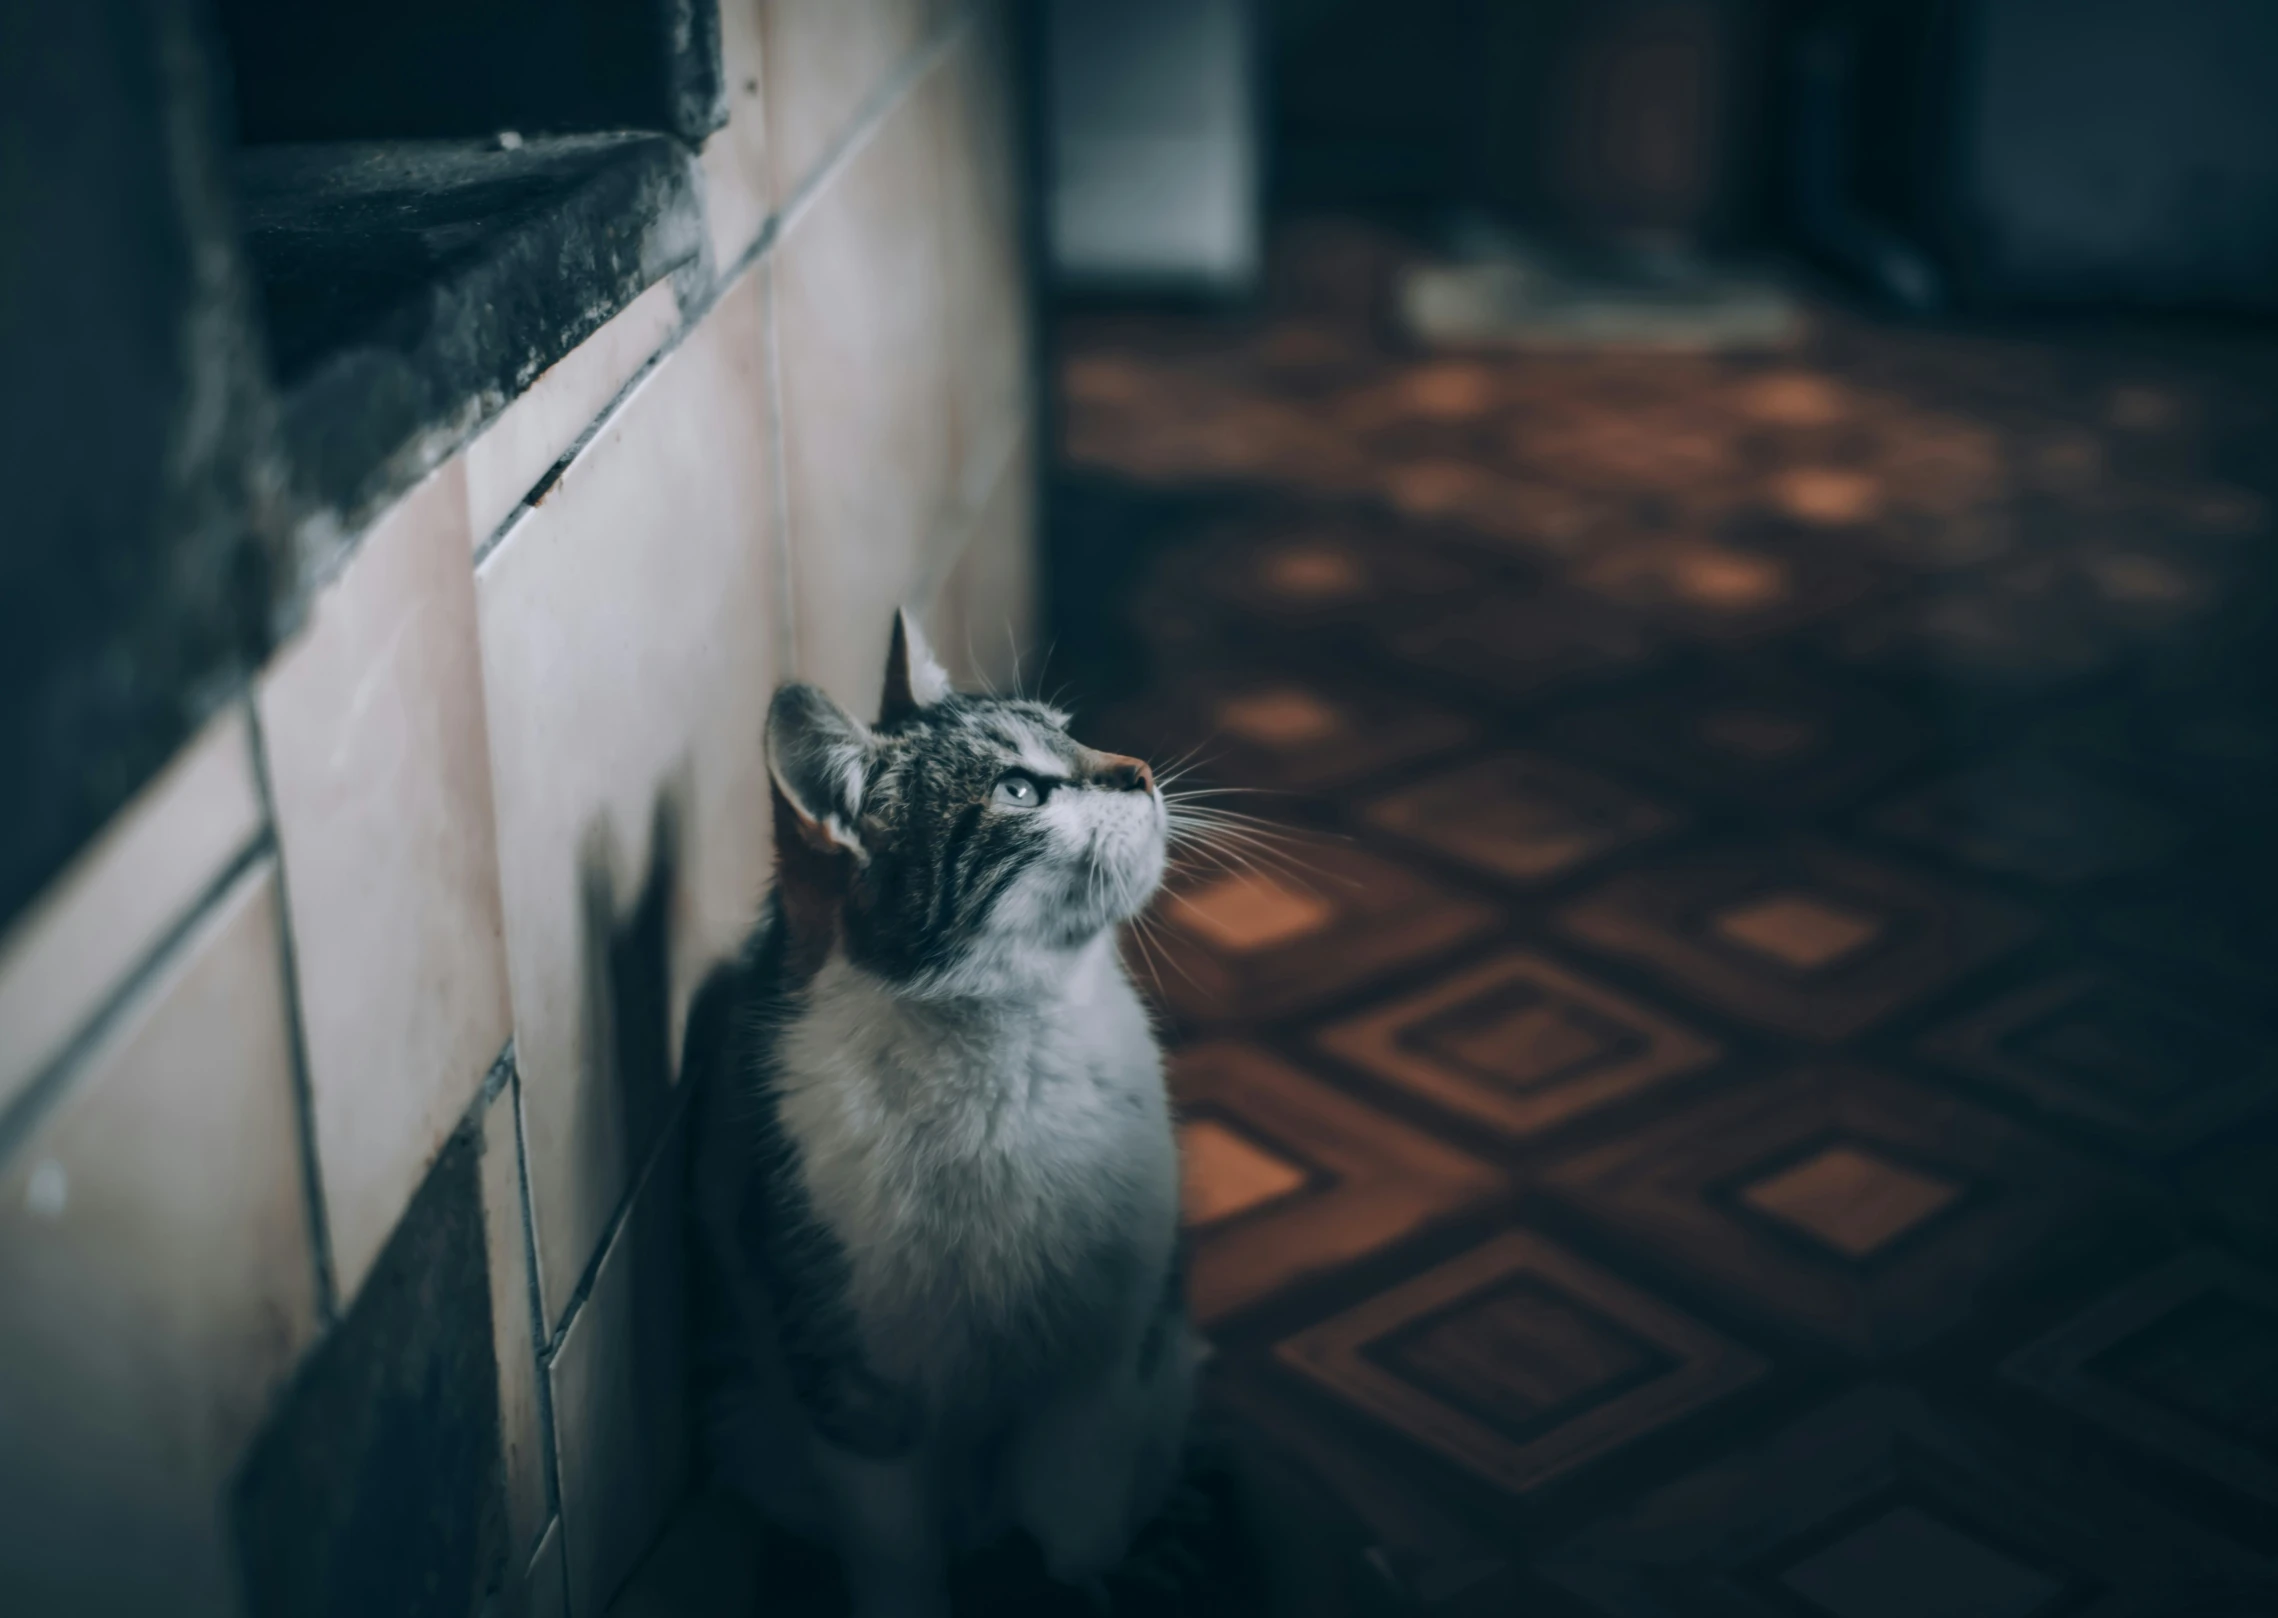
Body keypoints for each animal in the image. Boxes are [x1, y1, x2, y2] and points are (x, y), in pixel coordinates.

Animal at [687, 610, 1193, 1618]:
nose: (1140, 771)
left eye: (1071, 732)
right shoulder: (854, 1393)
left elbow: (1077, 1528)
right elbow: (896, 1559)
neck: (1006, 1051)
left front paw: (1088, 1581)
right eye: (1018, 789)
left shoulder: (1102, 1368)